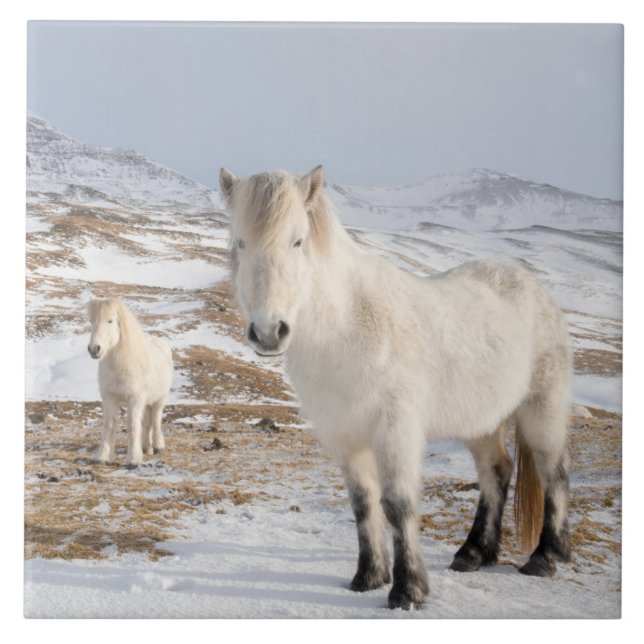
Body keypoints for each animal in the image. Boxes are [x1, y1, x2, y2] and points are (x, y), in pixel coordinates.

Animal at [87, 297, 173, 467]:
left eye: (110, 320)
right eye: (91, 321)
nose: (94, 349)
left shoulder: (135, 399)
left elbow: (133, 426)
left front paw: (133, 459)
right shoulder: (110, 398)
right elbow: (110, 425)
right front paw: (103, 457)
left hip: (160, 399)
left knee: (156, 419)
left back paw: (158, 446)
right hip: (147, 402)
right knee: (148, 422)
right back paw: (146, 447)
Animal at [219, 165, 572, 610]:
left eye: (297, 241)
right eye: (240, 242)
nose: (268, 332)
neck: (348, 327)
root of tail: (531, 286)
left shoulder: (395, 430)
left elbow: (398, 505)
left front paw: (407, 590)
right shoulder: (345, 436)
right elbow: (363, 503)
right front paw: (368, 577)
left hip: (542, 407)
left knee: (554, 472)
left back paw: (546, 557)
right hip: (482, 421)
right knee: (497, 471)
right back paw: (473, 554)